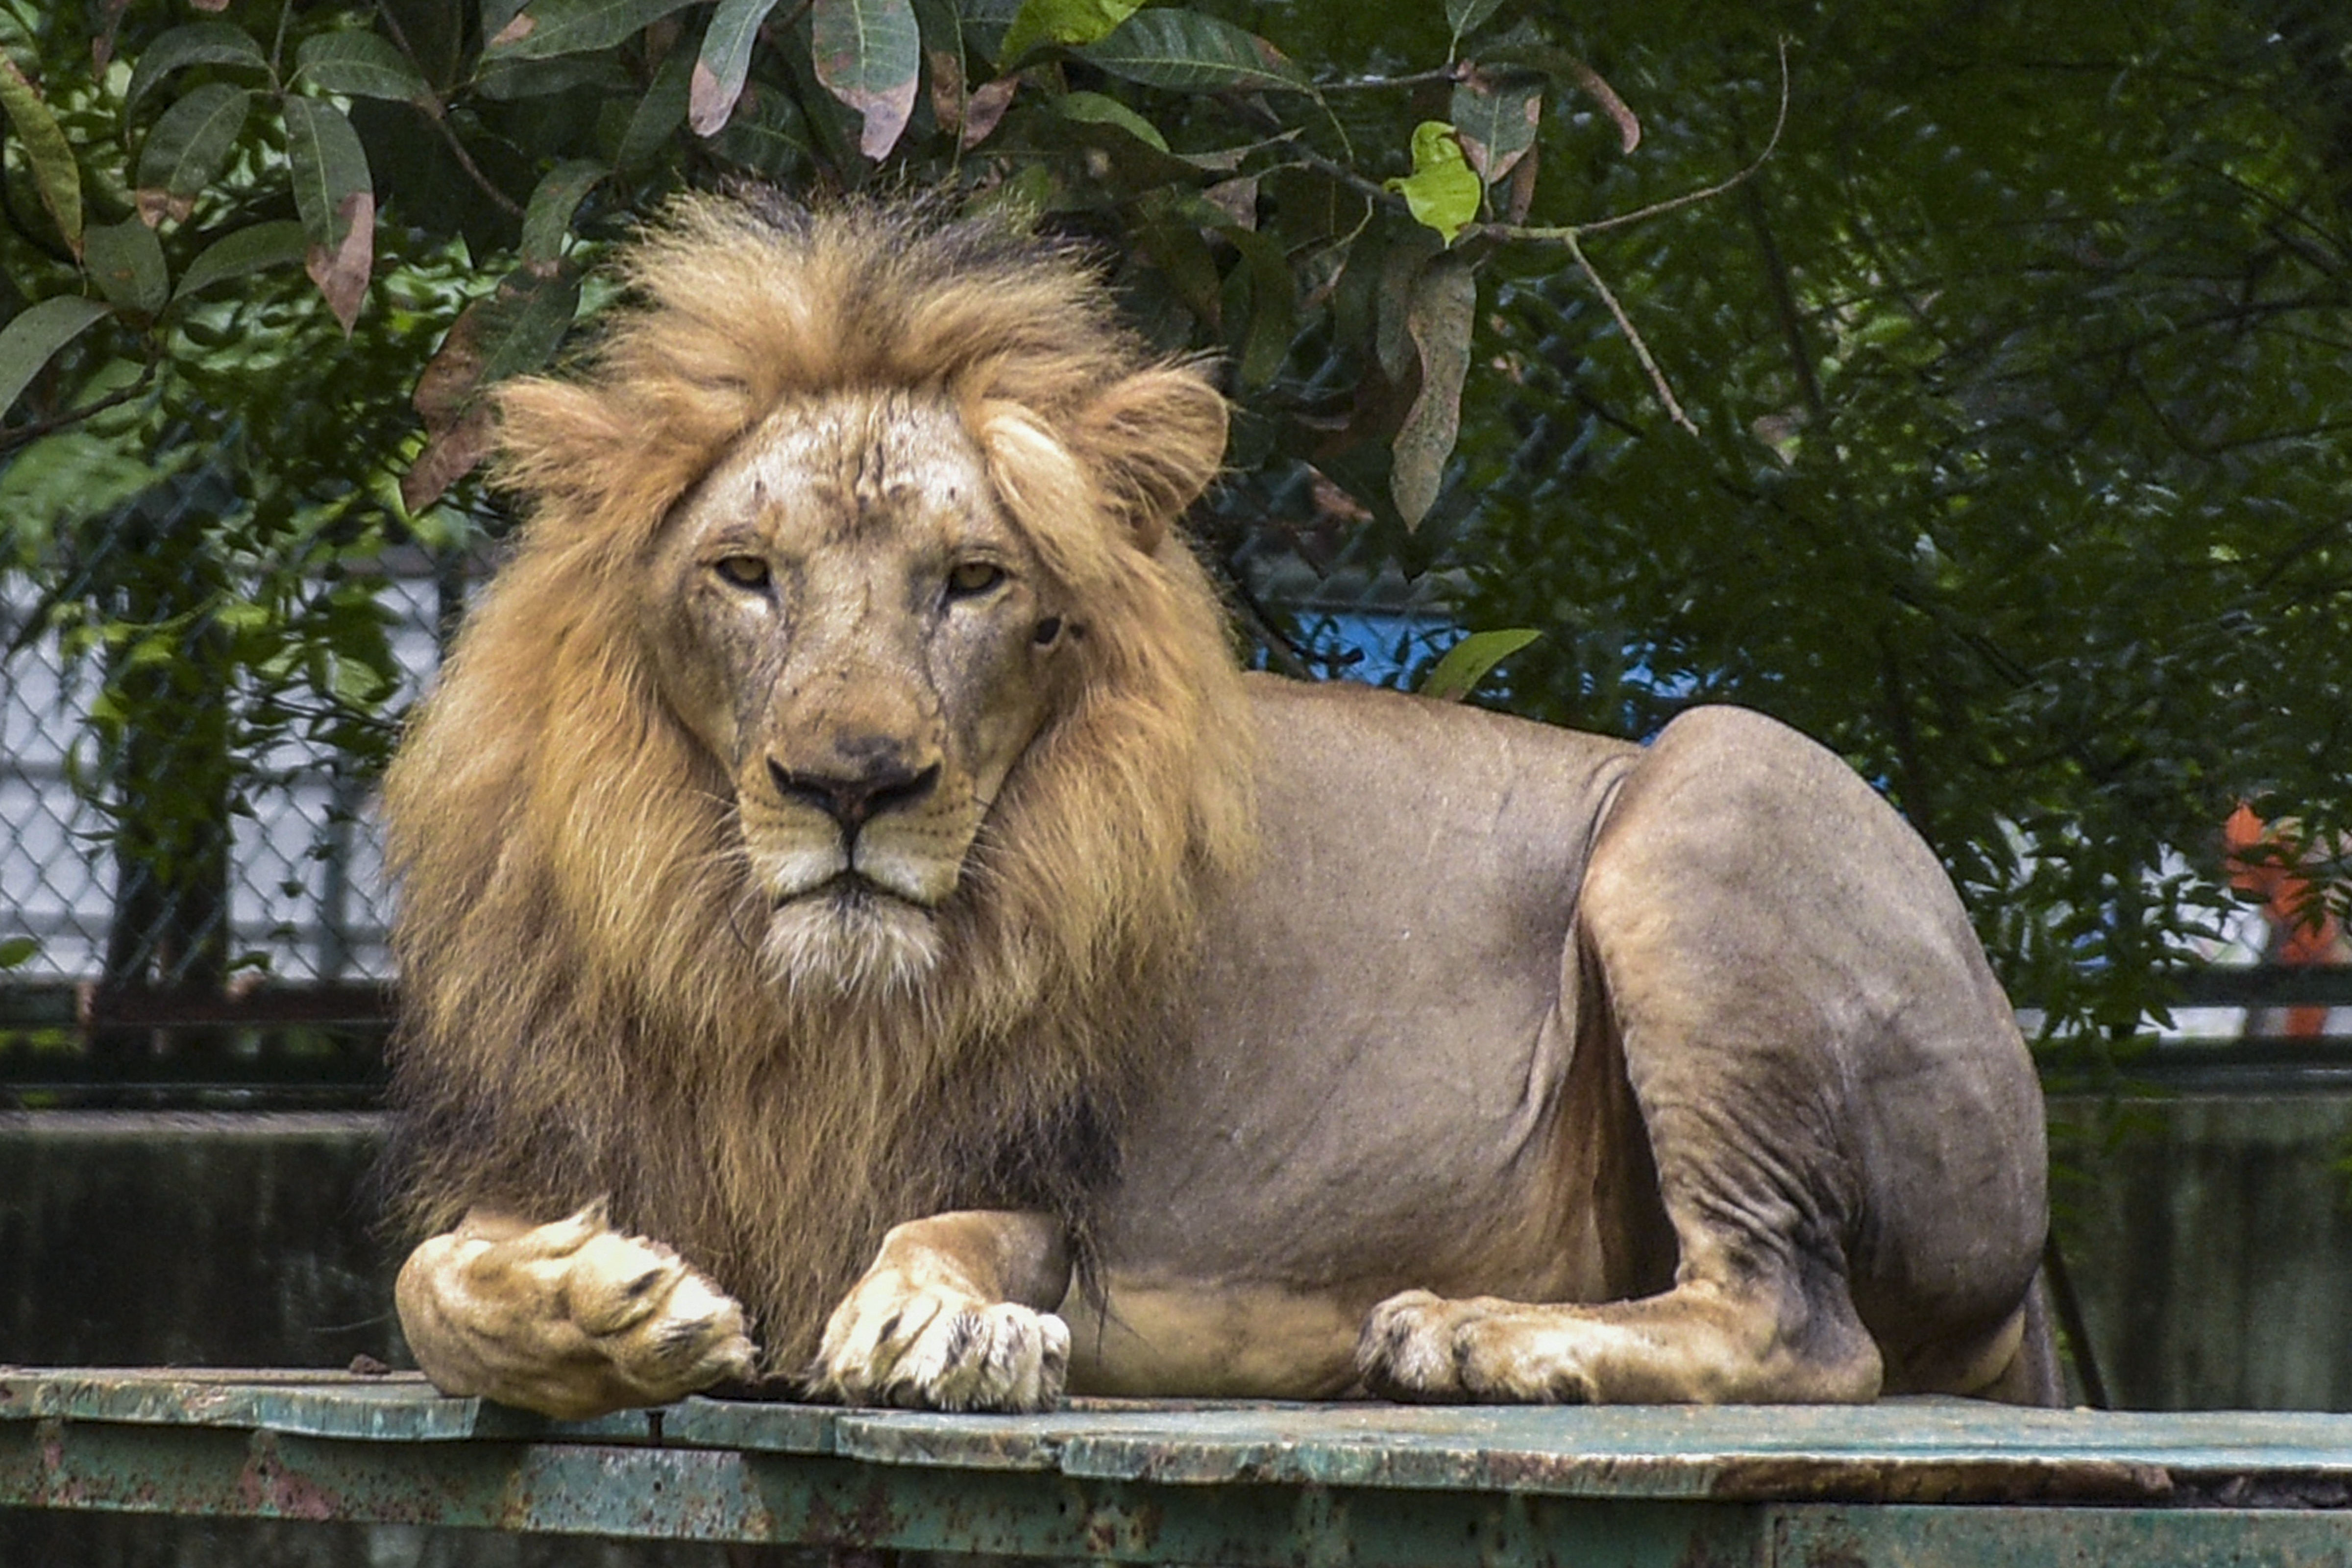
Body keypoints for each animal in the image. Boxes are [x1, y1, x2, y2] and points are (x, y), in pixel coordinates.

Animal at [382, 189, 2057, 1419]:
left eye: (974, 582)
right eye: (745, 572)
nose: (855, 783)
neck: (772, 994)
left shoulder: (1045, 1185)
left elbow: (944, 1231)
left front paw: (941, 1327)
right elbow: (427, 1284)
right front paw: (599, 1308)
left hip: (1720, 782)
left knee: (1801, 1323)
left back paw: (1482, 1337)